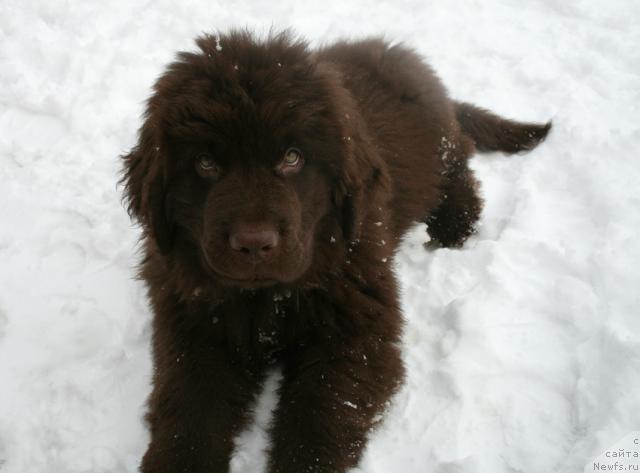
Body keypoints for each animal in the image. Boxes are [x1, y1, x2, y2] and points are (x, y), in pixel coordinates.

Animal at [121, 29, 552, 472]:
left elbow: (320, 413)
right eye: (206, 163)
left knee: (459, 171)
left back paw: (453, 227)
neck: (268, 300)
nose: (255, 243)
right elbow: (189, 409)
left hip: (439, 147)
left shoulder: (356, 328)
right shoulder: (193, 326)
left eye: (292, 157)